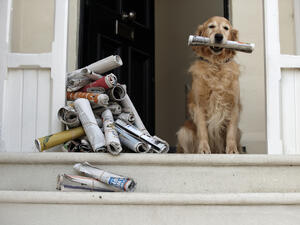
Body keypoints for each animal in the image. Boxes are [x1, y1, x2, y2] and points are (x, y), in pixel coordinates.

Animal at [176, 15, 241, 153]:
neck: (216, 65)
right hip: (184, 132)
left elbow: (231, 132)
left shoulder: (234, 104)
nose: (218, 36)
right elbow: (202, 131)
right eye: (211, 26)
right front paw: (204, 149)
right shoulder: (199, 105)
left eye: (226, 28)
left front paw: (232, 150)